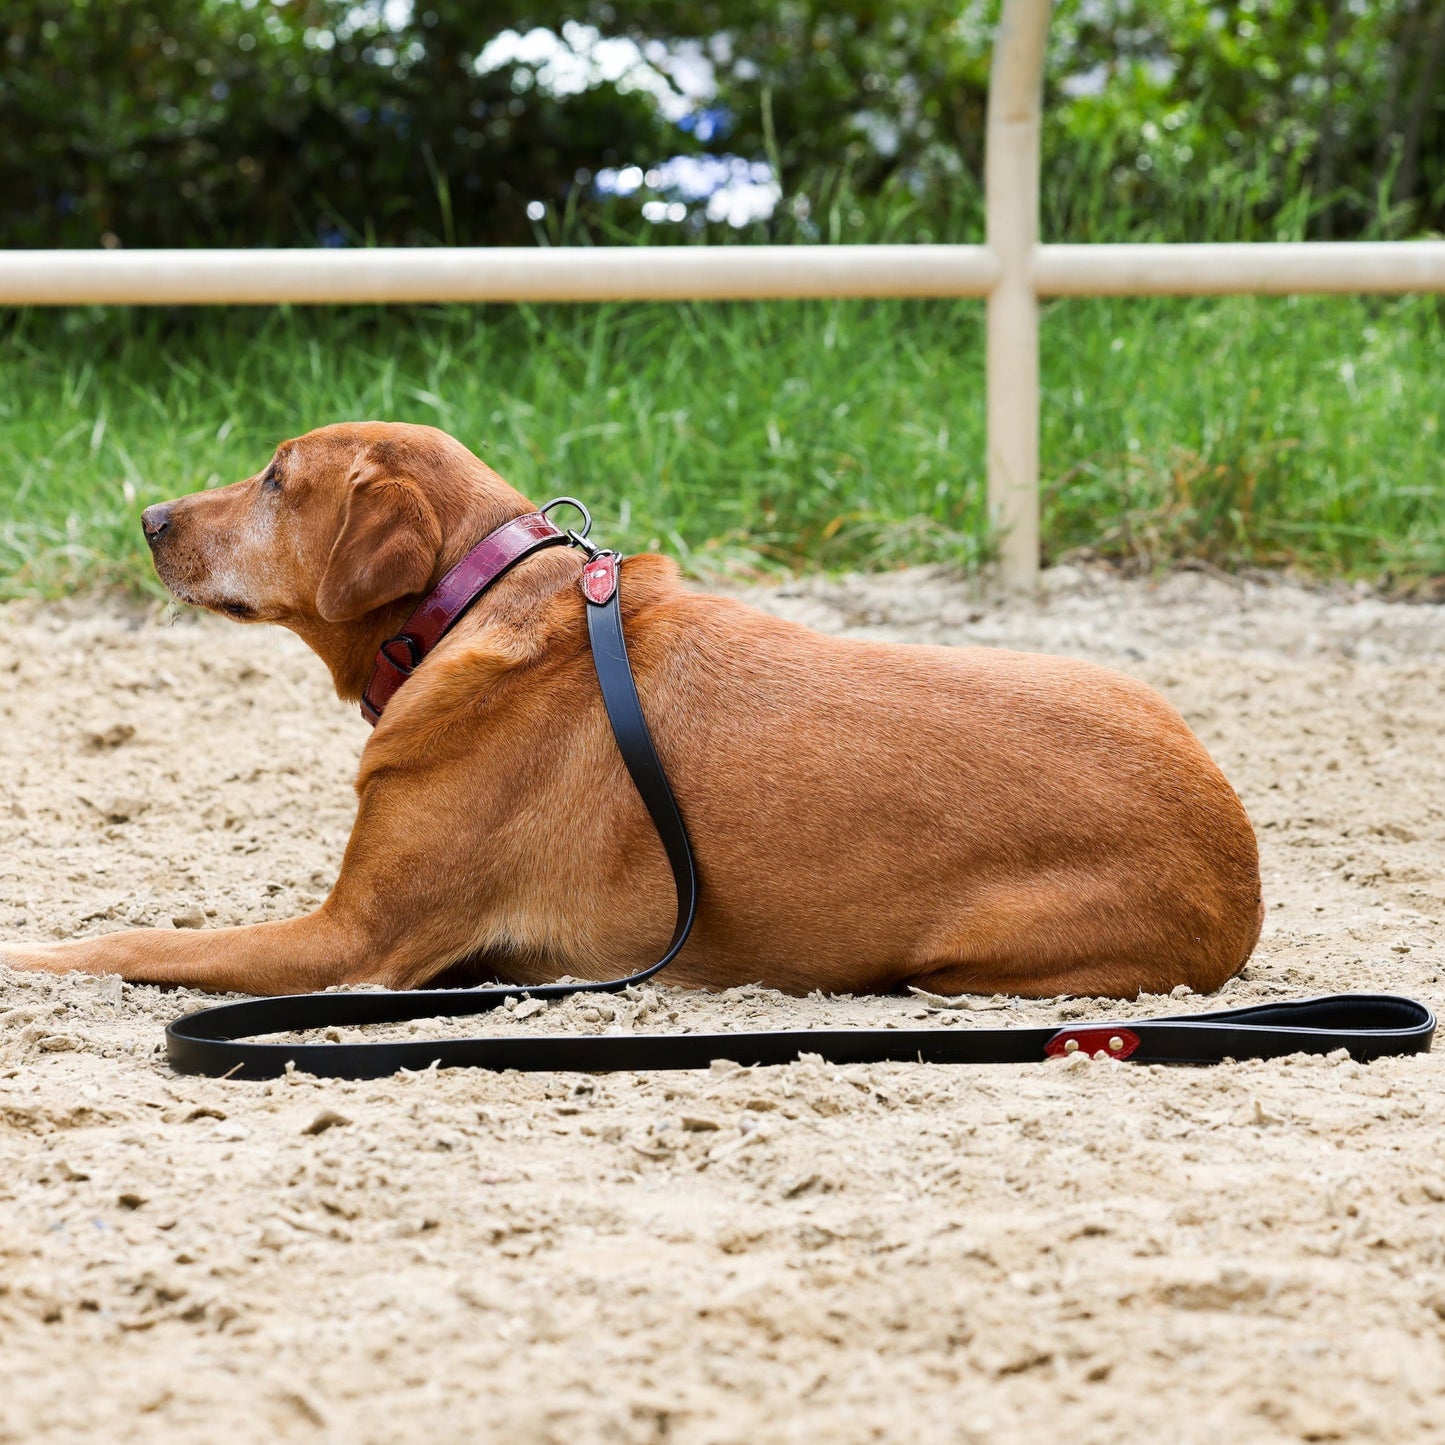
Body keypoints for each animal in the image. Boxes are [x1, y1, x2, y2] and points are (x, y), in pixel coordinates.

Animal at [0, 421, 1265, 999]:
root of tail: (1240, 859)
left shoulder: (353, 939)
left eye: (274, 479)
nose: (149, 515)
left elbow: (139, 941)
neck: (472, 598)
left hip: (967, 958)